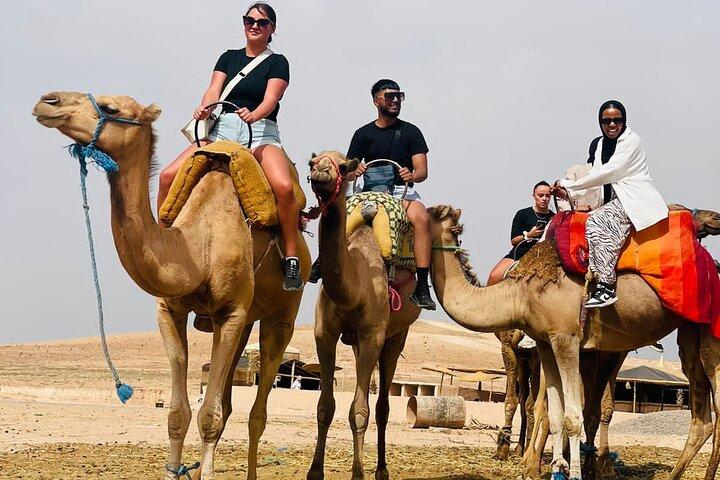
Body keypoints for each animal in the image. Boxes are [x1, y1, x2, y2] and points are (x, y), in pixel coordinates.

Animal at [32, 91, 310, 480]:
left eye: (112, 108)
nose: (48, 101)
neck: (197, 244)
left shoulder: (232, 313)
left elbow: (209, 416)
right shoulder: (171, 310)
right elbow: (179, 414)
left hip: (281, 315)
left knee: (258, 410)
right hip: (244, 323)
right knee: (228, 401)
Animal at [305, 151, 421, 480]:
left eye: (344, 166)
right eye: (312, 162)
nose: (321, 173)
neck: (354, 287)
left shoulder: (373, 335)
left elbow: (360, 411)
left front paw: (358, 473)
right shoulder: (325, 334)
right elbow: (325, 406)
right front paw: (315, 471)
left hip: (395, 336)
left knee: (381, 407)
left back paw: (381, 469)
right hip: (358, 342)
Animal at [427, 205, 718, 479]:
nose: (714, 219)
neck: (520, 293)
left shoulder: (566, 338)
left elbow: (572, 416)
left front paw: (573, 471)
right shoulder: (545, 342)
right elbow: (555, 415)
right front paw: (556, 468)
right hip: (689, 336)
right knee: (702, 416)